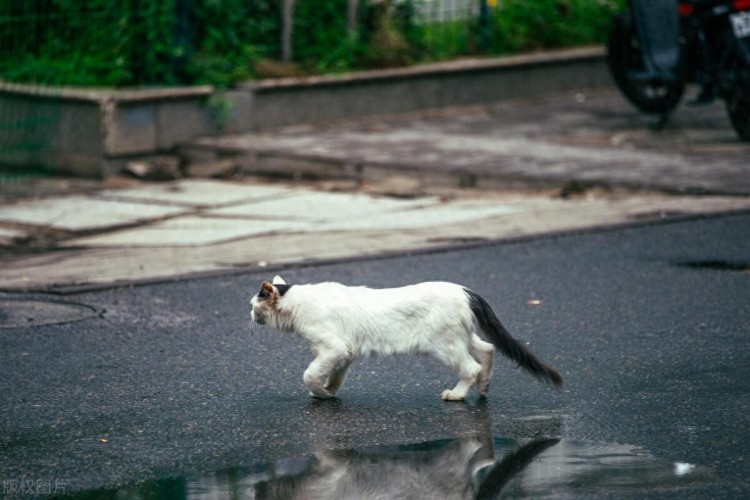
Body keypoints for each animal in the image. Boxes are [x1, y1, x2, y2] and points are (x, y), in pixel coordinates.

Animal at [253, 276, 564, 400]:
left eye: (253, 306)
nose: (250, 316)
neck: (298, 303)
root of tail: (464, 290)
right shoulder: (344, 352)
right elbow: (334, 376)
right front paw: (328, 392)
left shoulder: (333, 348)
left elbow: (310, 374)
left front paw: (319, 392)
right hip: (461, 337)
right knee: (487, 350)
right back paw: (484, 388)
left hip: (443, 345)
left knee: (471, 367)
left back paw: (458, 394)